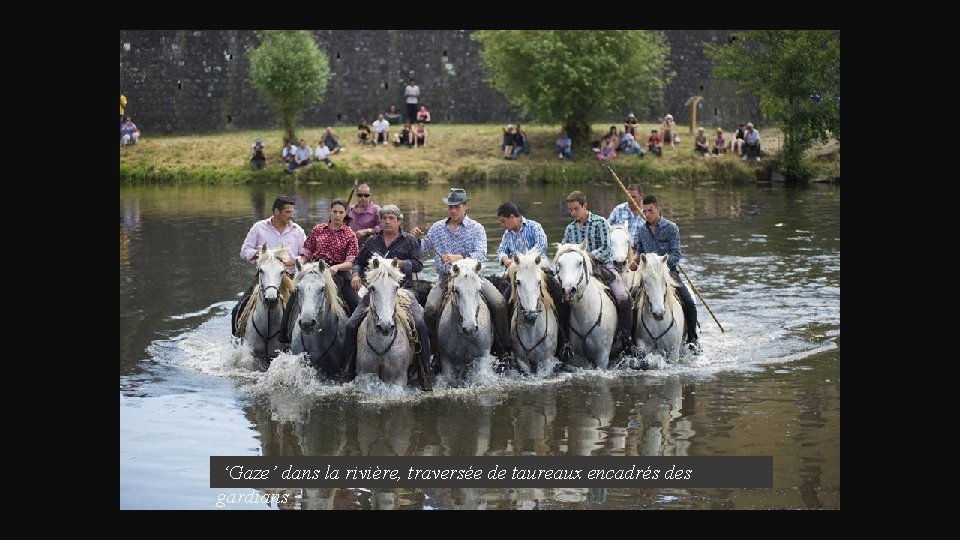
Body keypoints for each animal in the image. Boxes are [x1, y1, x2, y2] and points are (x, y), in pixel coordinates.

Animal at [356, 255, 416, 386]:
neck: (381, 348)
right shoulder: (365, 376)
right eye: (372, 288)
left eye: (396, 287)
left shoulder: (398, 379)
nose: (385, 326)